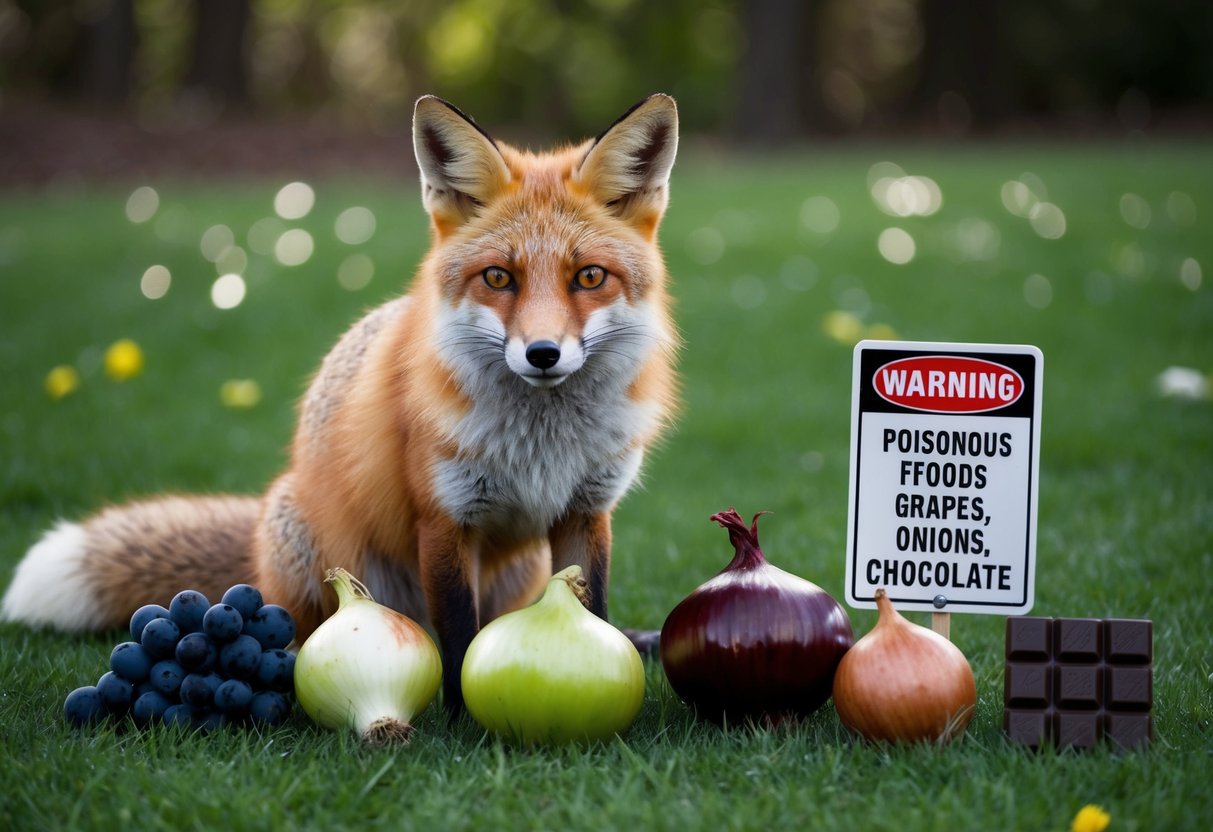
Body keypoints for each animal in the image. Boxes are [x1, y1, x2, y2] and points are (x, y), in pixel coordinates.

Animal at [2, 93, 681, 715]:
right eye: (498, 278)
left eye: (589, 278)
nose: (543, 354)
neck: (543, 445)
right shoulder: (444, 518)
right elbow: (461, 640)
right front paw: (464, 722)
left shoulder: (587, 512)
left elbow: (592, 612)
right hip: (311, 554)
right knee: (310, 632)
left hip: (522, 571)